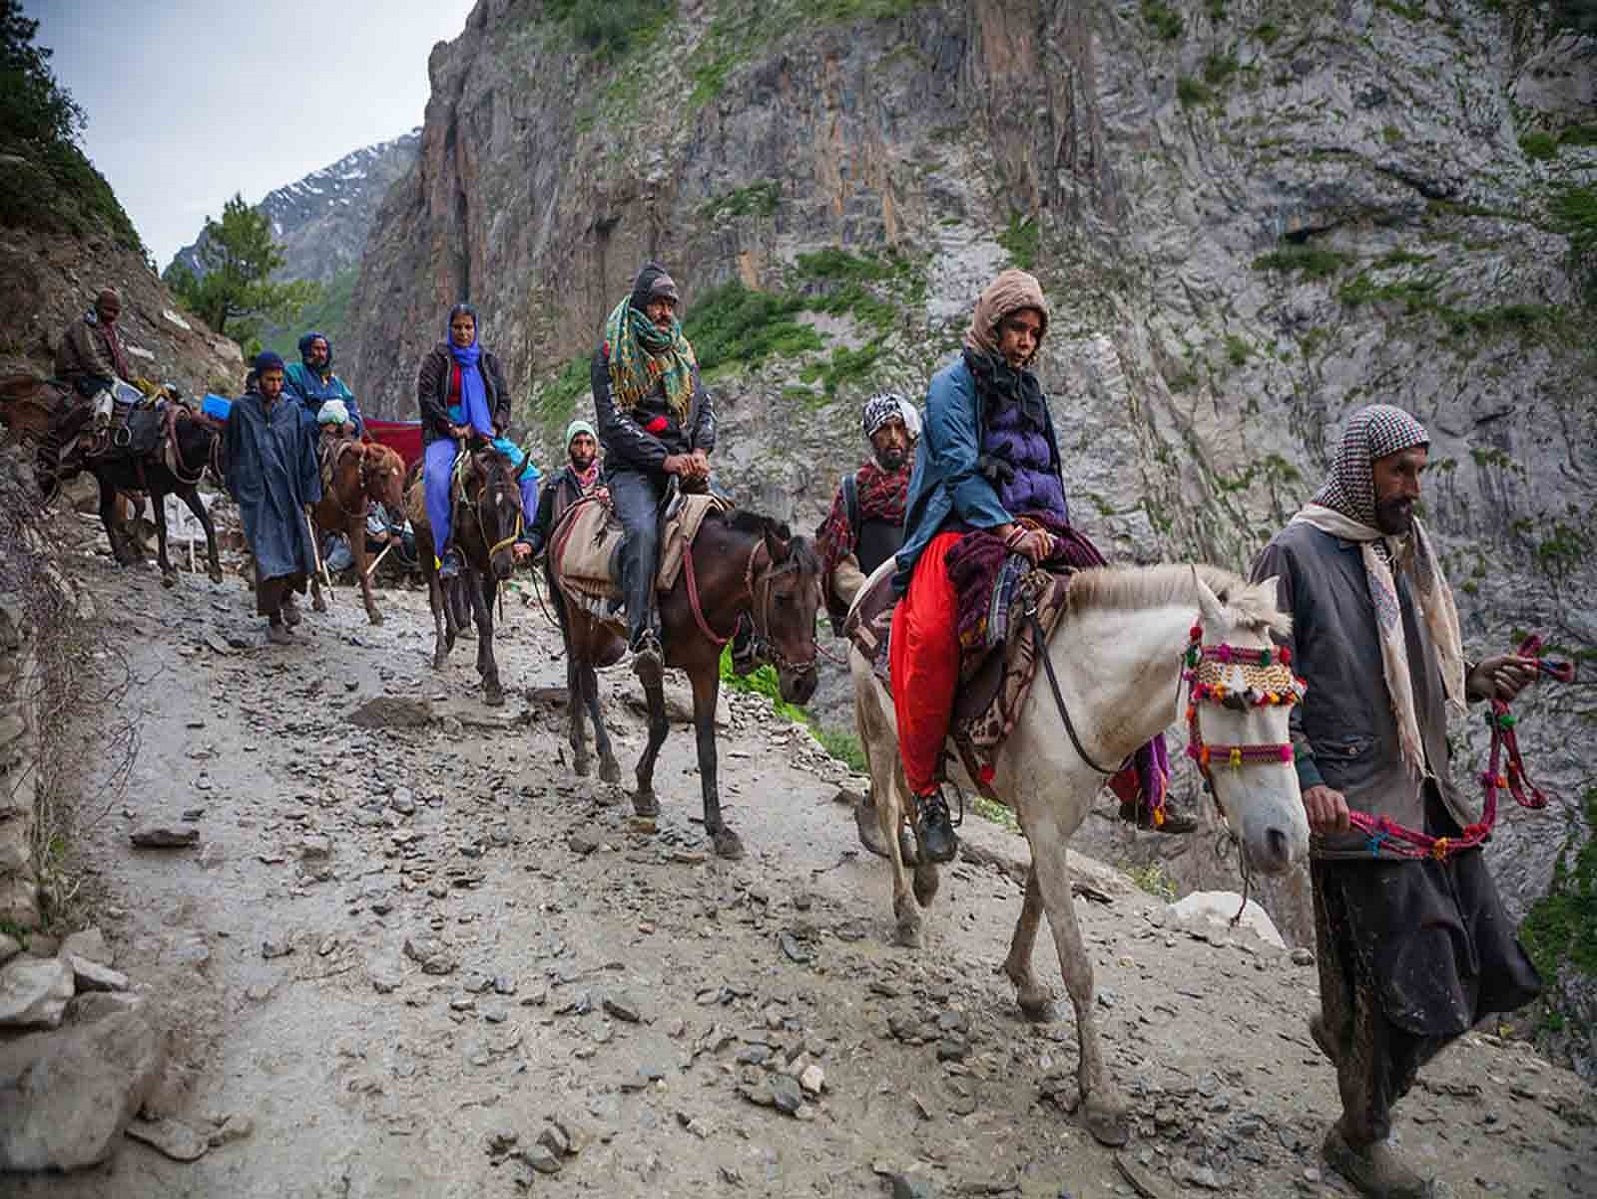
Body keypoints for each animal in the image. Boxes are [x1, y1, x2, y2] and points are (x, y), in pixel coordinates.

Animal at [311, 440, 408, 629]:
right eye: (383, 475)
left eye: (402, 477)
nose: (399, 514)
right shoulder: (310, 520)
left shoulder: (356, 528)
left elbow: (363, 570)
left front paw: (373, 612)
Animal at [408, 440, 520, 702]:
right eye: (485, 510)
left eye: (517, 508)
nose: (505, 566)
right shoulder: (471, 563)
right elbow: (482, 616)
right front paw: (493, 683)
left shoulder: (489, 567)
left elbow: (486, 614)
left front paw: (483, 666)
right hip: (424, 546)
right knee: (436, 598)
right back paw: (440, 652)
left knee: (447, 586)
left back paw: (451, 633)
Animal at [552, 507, 824, 862]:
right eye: (781, 597)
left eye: (818, 601)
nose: (803, 683)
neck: (704, 579)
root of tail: (567, 517)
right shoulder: (652, 661)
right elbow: (659, 726)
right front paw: (644, 791)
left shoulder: (705, 669)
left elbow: (707, 749)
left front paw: (718, 829)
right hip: (577, 613)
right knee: (585, 677)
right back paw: (602, 759)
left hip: (594, 623)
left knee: (574, 670)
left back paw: (579, 749)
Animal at [855, 561, 1303, 1143]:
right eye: (1234, 699)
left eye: (1291, 702)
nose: (1285, 839)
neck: (1086, 692)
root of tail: (872, 580)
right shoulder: (1046, 825)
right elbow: (1077, 962)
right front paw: (1101, 1096)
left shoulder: (1053, 824)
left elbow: (1034, 898)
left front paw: (1025, 985)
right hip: (876, 725)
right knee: (888, 807)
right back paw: (908, 912)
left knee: (915, 787)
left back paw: (929, 874)